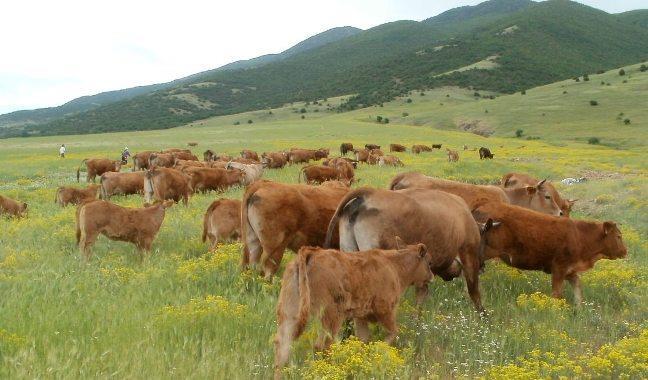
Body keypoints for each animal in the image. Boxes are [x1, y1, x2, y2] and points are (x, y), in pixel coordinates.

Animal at [470, 200, 628, 304]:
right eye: (618, 236)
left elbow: (578, 289)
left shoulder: (570, 271)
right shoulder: (559, 269)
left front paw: (579, 308)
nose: (625, 251)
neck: (580, 235)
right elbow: (557, 294)